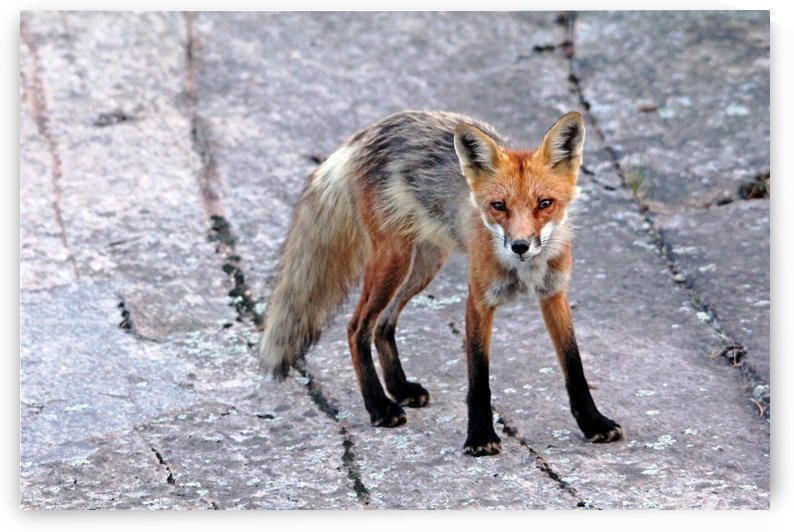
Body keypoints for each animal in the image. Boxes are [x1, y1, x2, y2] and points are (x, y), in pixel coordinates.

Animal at [258, 110, 623, 456]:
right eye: (498, 206)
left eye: (545, 204)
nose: (520, 246)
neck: (524, 272)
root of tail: (368, 133)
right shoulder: (479, 300)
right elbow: (478, 378)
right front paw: (480, 436)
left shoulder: (554, 294)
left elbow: (574, 367)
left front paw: (593, 422)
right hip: (393, 262)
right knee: (357, 326)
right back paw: (379, 406)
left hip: (424, 265)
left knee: (383, 324)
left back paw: (399, 388)